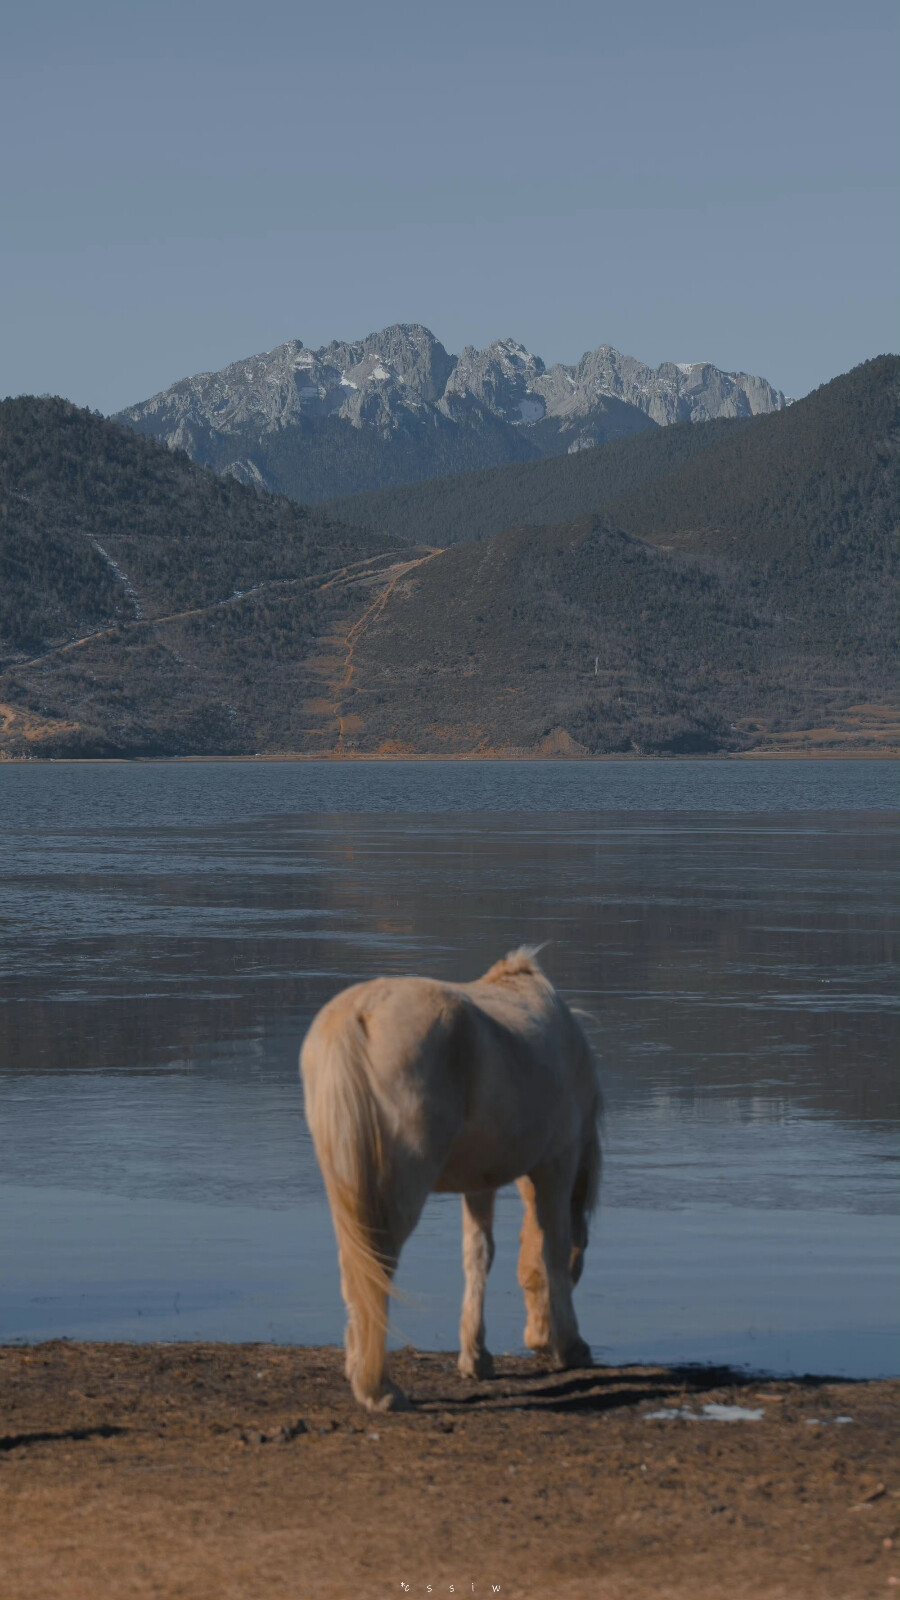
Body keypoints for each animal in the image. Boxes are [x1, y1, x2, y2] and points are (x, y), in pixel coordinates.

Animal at [297, 940, 598, 1408]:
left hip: (346, 1185)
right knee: (377, 1265)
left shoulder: (479, 1182)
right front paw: (571, 1346)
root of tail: (358, 1015)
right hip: (400, 1188)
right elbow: (551, 1248)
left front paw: (476, 1357)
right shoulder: (556, 1163)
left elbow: (478, 1255)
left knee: (355, 1266)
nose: (536, 1341)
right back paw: (377, 1388)